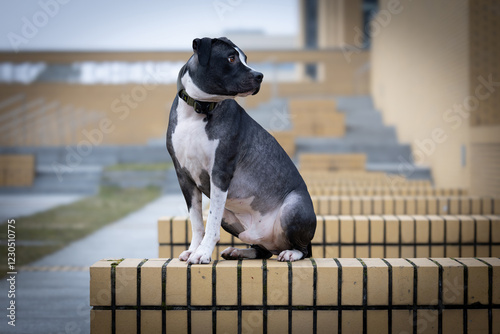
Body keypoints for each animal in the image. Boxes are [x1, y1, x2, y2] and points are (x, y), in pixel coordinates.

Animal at [168, 37, 316, 264]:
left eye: (245, 58)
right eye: (231, 58)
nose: (260, 75)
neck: (197, 111)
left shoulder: (220, 172)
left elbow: (210, 223)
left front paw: (202, 253)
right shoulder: (184, 177)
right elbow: (197, 222)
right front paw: (193, 250)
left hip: (293, 207)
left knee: (305, 249)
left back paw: (291, 253)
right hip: (231, 218)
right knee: (261, 249)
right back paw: (240, 251)